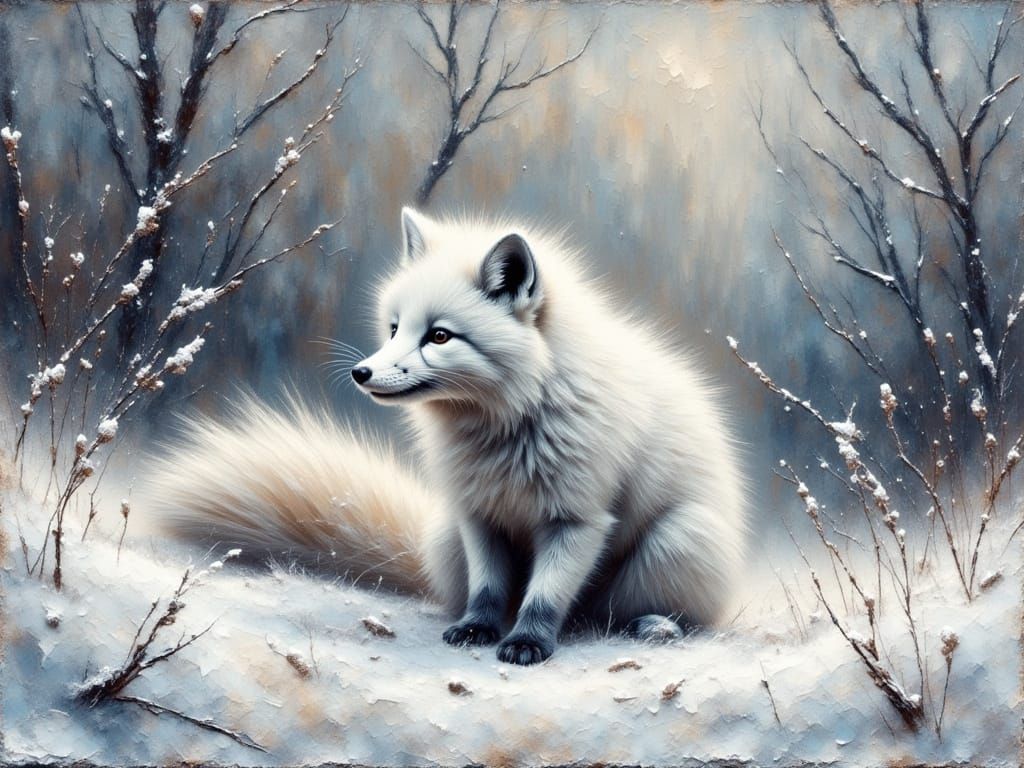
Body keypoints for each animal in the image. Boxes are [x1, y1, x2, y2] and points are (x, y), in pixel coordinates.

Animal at [152, 208, 747, 665]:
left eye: (439, 336)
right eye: (395, 328)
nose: (361, 373)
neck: (509, 424)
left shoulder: (577, 520)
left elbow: (544, 598)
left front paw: (528, 643)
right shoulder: (478, 513)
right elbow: (488, 589)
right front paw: (478, 629)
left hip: (679, 540)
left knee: (624, 615)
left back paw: (656, 626)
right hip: (444, 534)